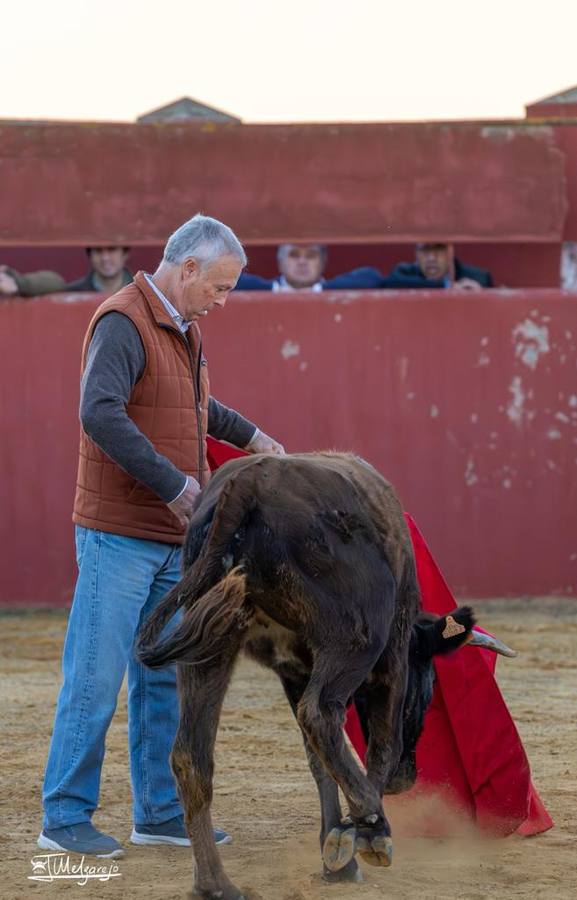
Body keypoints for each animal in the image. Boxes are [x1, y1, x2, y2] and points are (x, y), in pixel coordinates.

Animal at [136, 458, 512, 900]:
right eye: (430, 687)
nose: (407, 780)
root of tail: (249, 481)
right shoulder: (393, 660)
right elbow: (380, 744)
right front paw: (353, 836)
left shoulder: (295, 670)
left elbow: (319, 761)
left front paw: (338, 855)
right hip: (355, 638)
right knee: (319, 715)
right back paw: (373, 826)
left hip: (210, 642)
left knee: (191, 755)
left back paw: (216, 884)